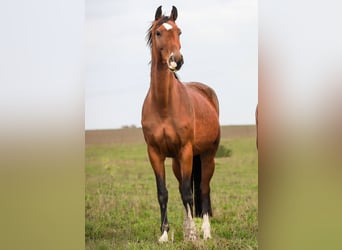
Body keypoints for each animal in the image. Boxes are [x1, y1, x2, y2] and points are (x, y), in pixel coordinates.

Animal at [142, 5, 220, 241]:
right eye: (159, 32)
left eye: (179, 32)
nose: (176, 60)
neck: (164, 105)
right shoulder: (155, 153)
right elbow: (163, 193)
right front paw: (164, 234)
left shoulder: (186, 150)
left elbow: (188, 193)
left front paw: (193, 235)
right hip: (178, 162)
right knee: (182, 189)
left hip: (206, 156)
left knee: (203, 189)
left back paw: (205, 232)